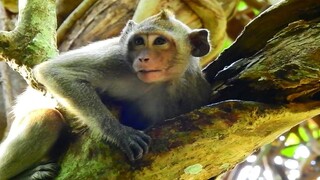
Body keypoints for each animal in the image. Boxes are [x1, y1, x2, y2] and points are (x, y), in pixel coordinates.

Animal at [0, 10, 212, 179]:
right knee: (47, 118)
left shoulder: (193, 86)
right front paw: (120, 133)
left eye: (160, 41)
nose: (143, 58)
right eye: (138, 41)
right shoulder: (116, 57)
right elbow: (56, 72)